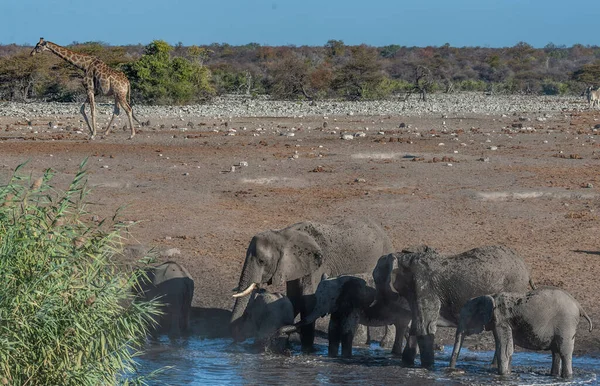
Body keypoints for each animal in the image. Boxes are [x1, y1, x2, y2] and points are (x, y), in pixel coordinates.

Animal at [230, 219, 394, 352]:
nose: (236, 339)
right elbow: (294, 298)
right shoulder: (294, 266)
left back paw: (384, 344)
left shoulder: (319, 264)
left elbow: (308, 300)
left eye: (262, 261)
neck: (283, 235)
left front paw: (307, 350)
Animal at [370, 244, 536, 368]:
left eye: (375, 279)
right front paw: (407, 364)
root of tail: (527, 270)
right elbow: (416, 326)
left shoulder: (425, 286)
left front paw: (428, 367)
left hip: (513, 287)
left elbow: (425, 327)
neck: (404, 258)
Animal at [448, 286, 592, 376]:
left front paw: (503, 375)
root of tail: (579, 306)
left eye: (465, 317)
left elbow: (504, 349)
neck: (490, 296)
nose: (452, 370)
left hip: (566, 324)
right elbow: (508, 349)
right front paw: (508, 374)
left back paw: (567, 377)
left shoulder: (501, 320)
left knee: (564, 352)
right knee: (556, 352)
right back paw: (554, 375)